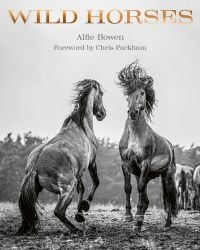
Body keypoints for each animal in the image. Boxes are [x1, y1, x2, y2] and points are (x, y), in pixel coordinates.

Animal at [17, 79, 106, 234]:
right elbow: (96, 182)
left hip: (38, 190)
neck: (82, 127)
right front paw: (85, 206)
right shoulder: (92, 163)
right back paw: (76, 229)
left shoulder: (79, 171)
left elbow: (82, 188)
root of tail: (36, 165)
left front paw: (79, 214)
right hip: (68, 188)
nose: (102, 113)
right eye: (100, 93)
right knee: (58, 211)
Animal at [118, 61, 177, 231]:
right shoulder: (125, 164)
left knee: (168, 197)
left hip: (167, 175)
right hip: (145, 174)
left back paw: (167, 223)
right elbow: (128, 188)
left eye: (143, 92)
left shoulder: (144, 163)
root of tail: (170, 146)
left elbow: (139, 189)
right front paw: (129, 217)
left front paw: (137, 221)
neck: (135, 135)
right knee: (147, 198)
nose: (133, 112)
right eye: (127, 94)